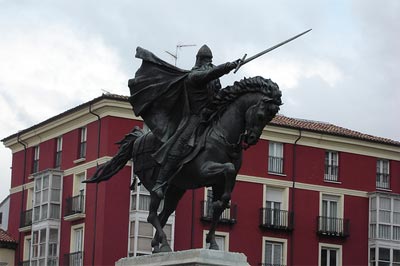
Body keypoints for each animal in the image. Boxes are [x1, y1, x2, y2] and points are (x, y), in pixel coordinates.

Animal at [84, 76, 282, 252]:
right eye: (261, 115)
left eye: (270, 118)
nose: (252, 138)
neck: (223, 135)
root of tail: (138, 139)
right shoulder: (204, 171)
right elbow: (228, 169)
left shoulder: (220, 182)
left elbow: (222, 202)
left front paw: (213, 241)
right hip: (156, 183)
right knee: (152, 214)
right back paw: (163, 244)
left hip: (176, 189)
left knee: (162, 215)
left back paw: (157, 246)